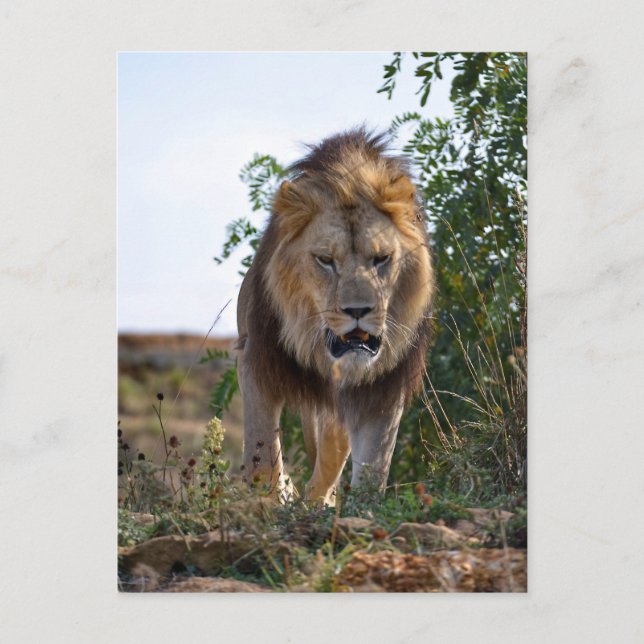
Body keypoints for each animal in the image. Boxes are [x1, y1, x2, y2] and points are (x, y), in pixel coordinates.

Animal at [236, 128, 435, 504]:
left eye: (381, 258)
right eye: (325, 260)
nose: (358, 311)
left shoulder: (382, 388)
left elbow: (373, 468)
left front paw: (361, 507)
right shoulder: (255, 358)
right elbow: (264, 455)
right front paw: (270, 498)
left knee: (329, 462)